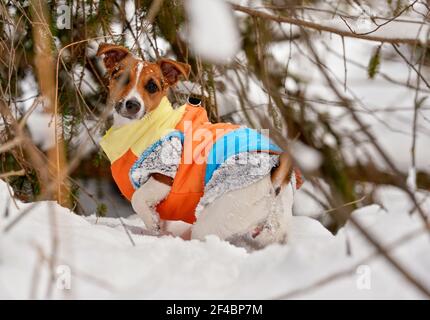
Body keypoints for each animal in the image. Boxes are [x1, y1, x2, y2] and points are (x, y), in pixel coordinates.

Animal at [96, 42, 302, 250]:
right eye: (121, 78)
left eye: (152, 86)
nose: (133, 104)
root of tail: (274, 181)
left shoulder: (163, 177)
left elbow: (138, 199)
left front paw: (151, 223)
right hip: (272, 229)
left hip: (213, 218)